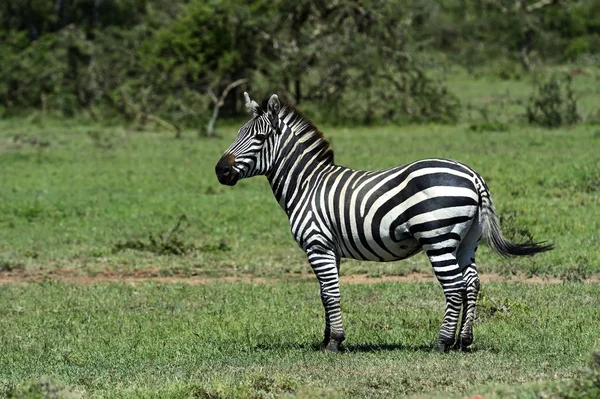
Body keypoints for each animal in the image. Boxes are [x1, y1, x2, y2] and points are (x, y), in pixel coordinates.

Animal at [216, 93, 552, 354]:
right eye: (237, 133)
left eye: (259, 139)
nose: (220, 171)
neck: (307, 185)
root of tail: (472, 175)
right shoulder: (330, 250)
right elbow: (325, 294)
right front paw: (327, 339)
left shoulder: (317, 245)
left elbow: (330, 293)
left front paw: (334, 342)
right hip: (468, 239)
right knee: (471, 283)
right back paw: (463, 341)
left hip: (438, 238)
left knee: (455, 286)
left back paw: (442, 343)